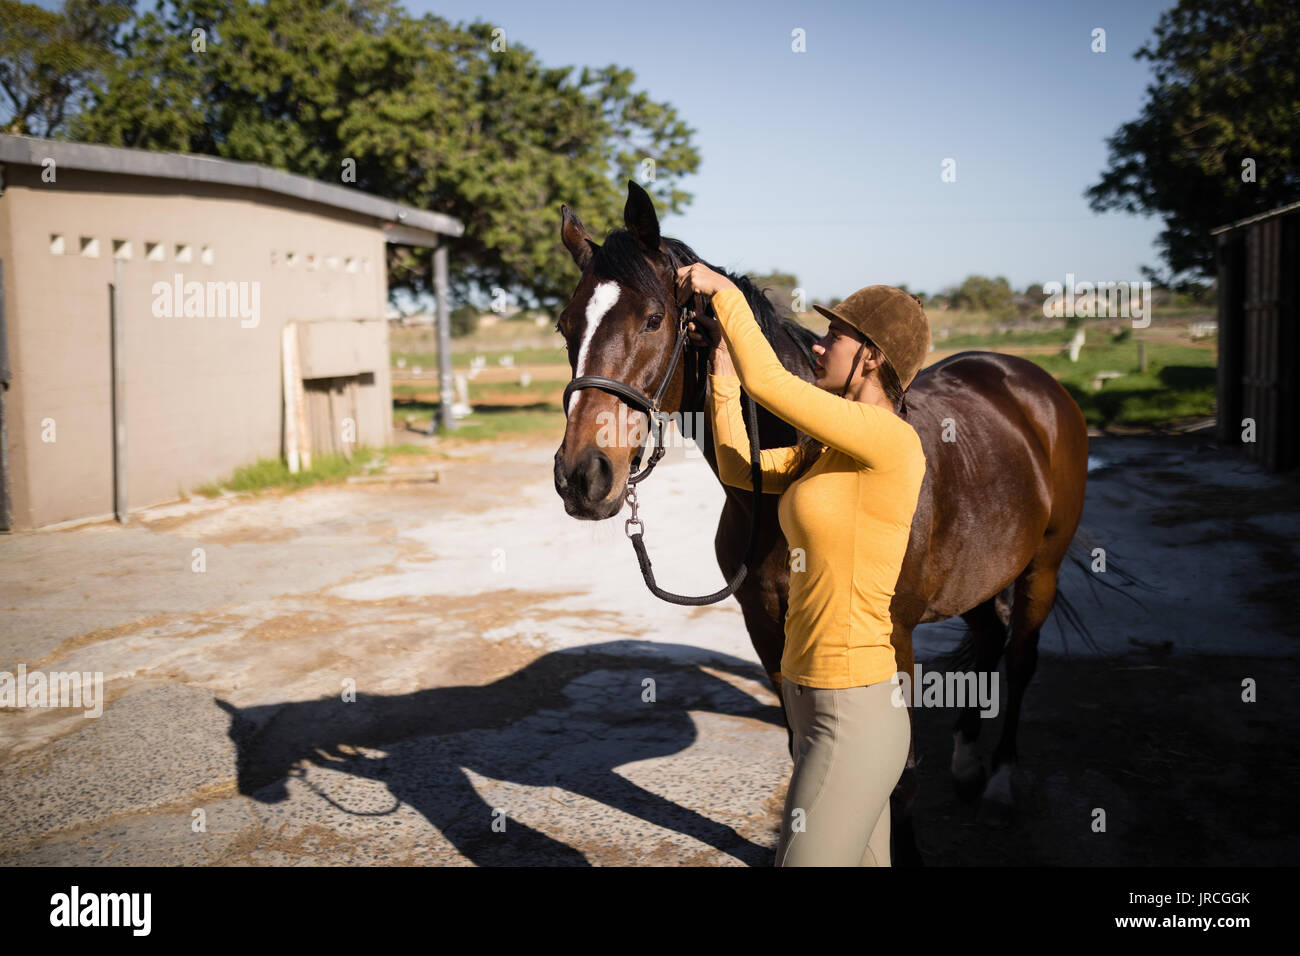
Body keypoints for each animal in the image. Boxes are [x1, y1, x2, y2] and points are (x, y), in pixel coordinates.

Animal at [553, 180, 1092, 868]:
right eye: (567, 326)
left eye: (652, 319)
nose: (581, 476)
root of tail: (1028, 381)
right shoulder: (766, 626)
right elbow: (799, 748)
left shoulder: (893, 637)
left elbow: (900, 771)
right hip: (982, 575)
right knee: (990, 641)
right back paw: (969, 765)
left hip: (1040, 567)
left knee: (1020, 660)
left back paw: (998, 784)